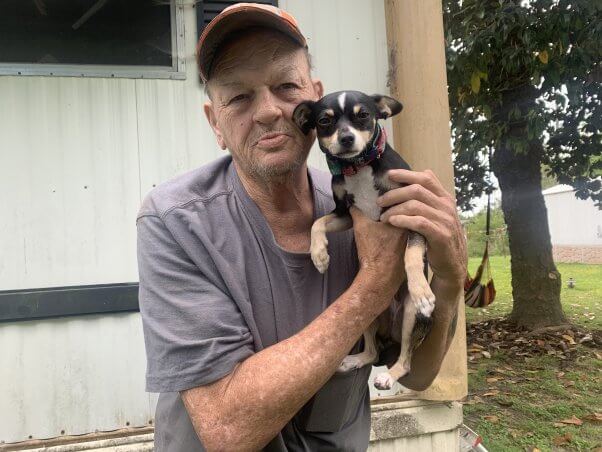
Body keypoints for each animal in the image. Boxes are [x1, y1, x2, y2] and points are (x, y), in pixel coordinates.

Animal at [292, 91, 434, 388]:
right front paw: (319, 255)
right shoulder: (345, 213)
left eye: (364, 115)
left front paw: (420, 288)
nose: (346, 138)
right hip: (366, 315)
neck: (359, 166)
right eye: (324, 121)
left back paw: (389, 375)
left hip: (410, 316)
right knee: (373, 352)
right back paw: (355, 360)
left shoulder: (412, 212)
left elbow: (412, 253)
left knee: (405, 361)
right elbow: (317, 223)